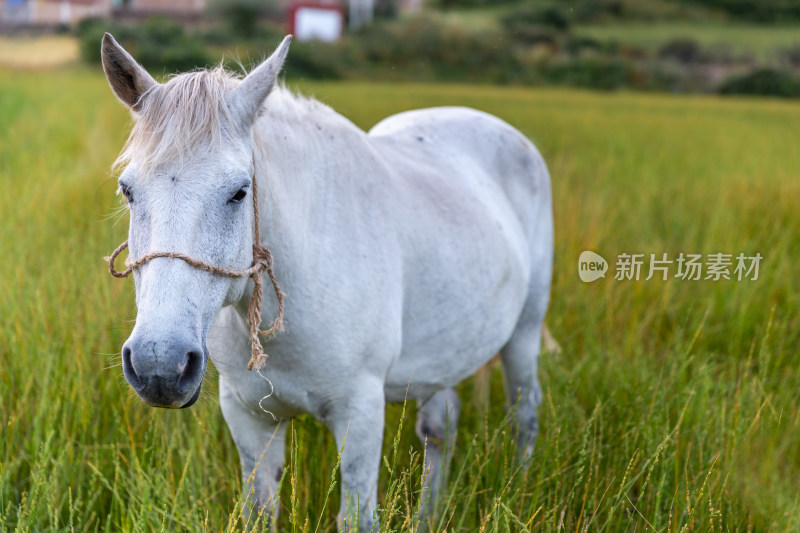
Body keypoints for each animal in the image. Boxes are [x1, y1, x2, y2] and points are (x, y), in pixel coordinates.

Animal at [101, 34, 552, 532]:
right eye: (128, 190)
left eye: (239, 192)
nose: (159, 365)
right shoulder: (248, 418)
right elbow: (260, 511)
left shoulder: (361, 413)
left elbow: (357, 517)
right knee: (441, 429)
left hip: (524, 333)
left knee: (524, 413)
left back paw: (522, 491)